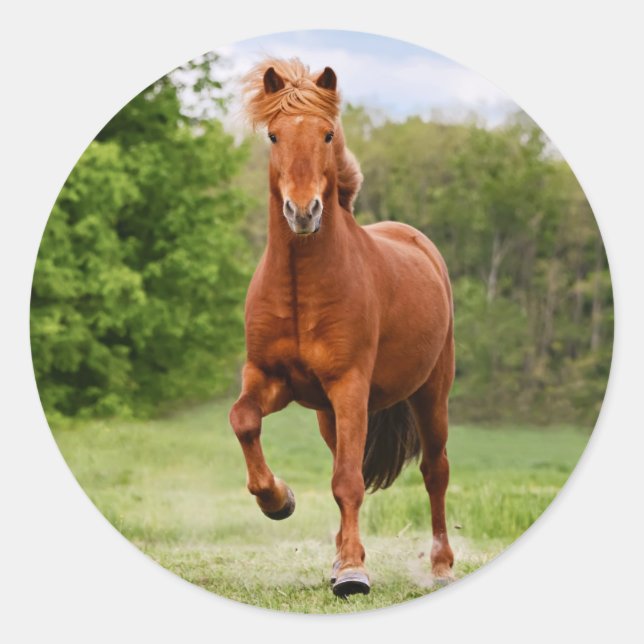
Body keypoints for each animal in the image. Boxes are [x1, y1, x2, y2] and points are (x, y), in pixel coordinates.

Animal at [229, 58, 455, 597]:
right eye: (273, 135)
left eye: (327, 134)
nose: (303, 211)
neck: (300, 287)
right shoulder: (269, 378)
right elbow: (244, 420)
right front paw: (278, 500)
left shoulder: (350, 386)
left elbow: (348, 481)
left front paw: (353, 573)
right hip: (328, 416)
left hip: (431, 394)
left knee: (435, 471)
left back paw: (440, 565)